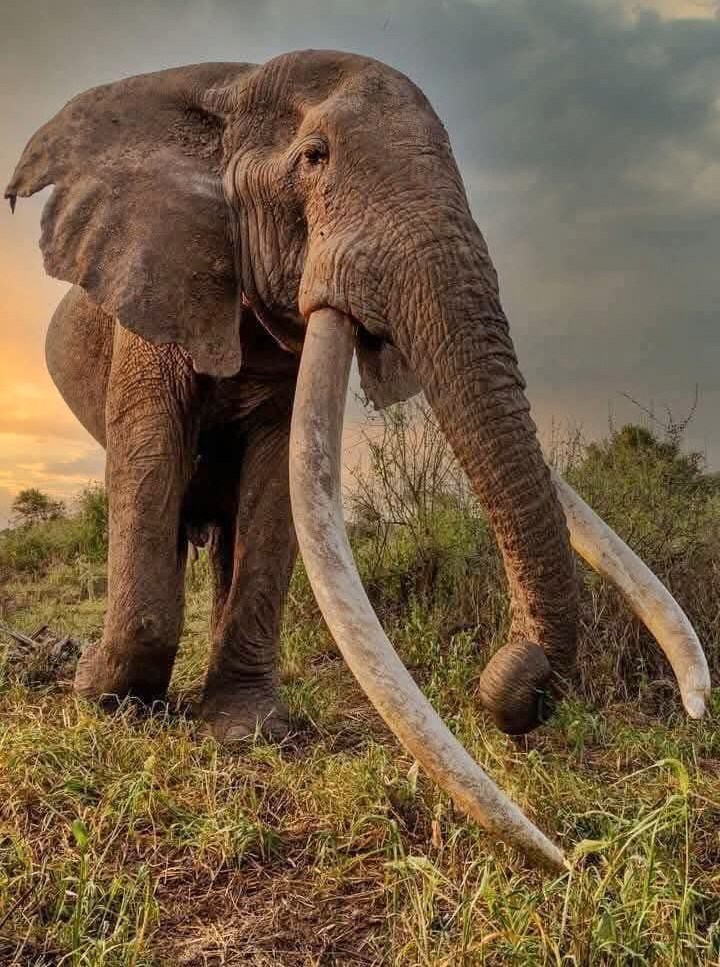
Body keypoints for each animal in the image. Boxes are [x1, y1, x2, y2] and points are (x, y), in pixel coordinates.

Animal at [7, 50, 710, 868]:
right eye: (314, 158)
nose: (516, 678)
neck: (229, 89)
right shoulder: (153, 290)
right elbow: (151, 454)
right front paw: (102, 697)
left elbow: (278, 473)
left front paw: (247, 732)